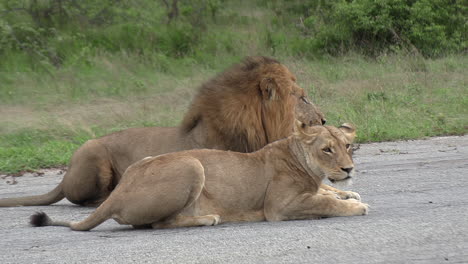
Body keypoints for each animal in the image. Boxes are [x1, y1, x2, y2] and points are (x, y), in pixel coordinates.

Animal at [31, 121, 372, 231]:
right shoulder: (280, 207)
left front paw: (349, 192)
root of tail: (118, 192)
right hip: (192, 164)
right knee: (159, 224)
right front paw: (356, 205)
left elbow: (327, 193)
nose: (349, 169)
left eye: (347, 146)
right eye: (327, 150)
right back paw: (208, 218)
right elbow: (325, 203)